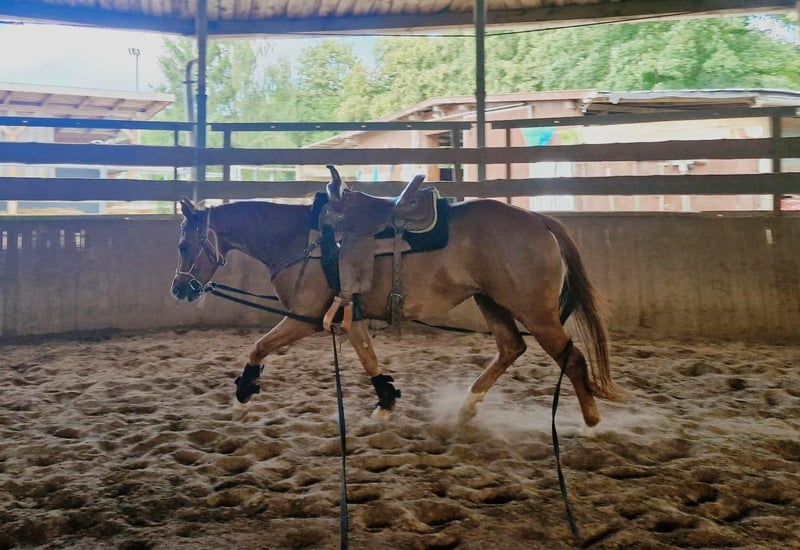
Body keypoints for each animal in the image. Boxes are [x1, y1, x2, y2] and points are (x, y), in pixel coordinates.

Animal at [171, 173, 621, 427]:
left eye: (182, 244)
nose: (180, 289)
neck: (304, 240)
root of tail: (538, 219)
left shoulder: (304, 317)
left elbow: (258, 347)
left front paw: (243, 397)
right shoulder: (350, 315)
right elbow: (368, 358)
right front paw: (386, 402)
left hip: (535, 311)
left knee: (571, 358)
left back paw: (591, 421)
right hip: (491, 302)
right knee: (512, 348)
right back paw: (466, 408)